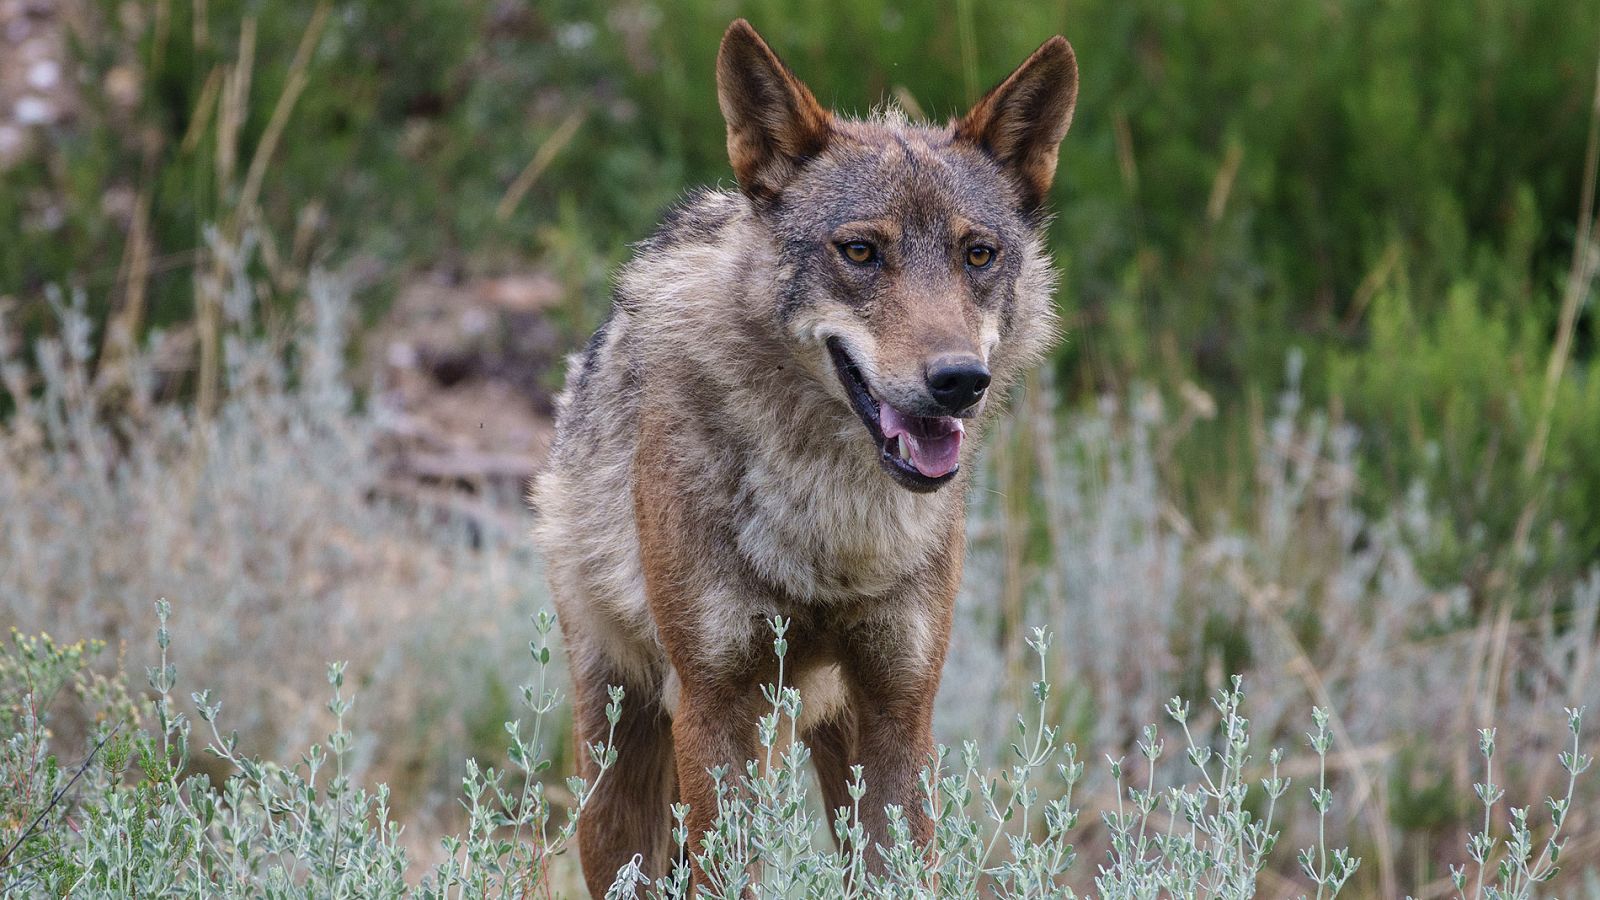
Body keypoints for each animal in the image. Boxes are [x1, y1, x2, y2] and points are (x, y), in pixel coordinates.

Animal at [532, 19, 1077, 894]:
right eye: (859, 252)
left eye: (978, 254)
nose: (959, 380)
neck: (835, 534)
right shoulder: (716, 705)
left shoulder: (900, 708)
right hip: (622, 767)